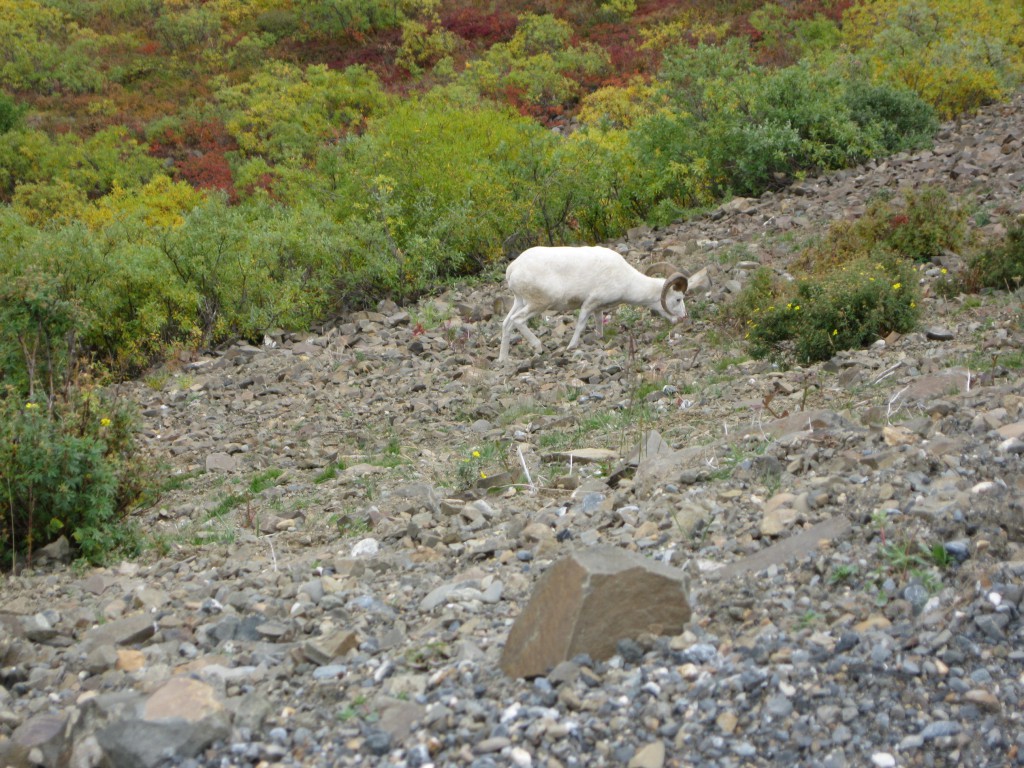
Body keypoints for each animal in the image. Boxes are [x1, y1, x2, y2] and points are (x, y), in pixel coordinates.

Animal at [495, 247, 688, 364]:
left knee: (507, 324)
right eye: (678, 299)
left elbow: (598, 324)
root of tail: (513, 268)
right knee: (518, 320)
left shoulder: (598, 308)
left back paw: (503, 359)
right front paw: (572, 346)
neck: (626, 280)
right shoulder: (589, 303)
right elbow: (581, 324)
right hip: (538, 304)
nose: (683, 318)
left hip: (519, 301)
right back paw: (538, 347)